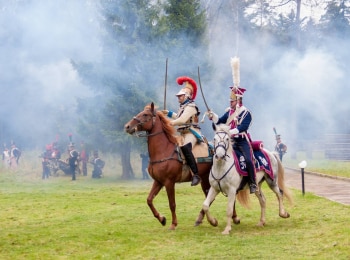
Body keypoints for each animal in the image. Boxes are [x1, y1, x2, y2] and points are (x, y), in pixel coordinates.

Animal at [126, 101, 213, 230]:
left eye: (145, 114)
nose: (127, 126)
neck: (163, 150)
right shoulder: (158, 181)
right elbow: (149, 200)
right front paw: (162, 219)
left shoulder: (169, 182)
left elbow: (172, 203)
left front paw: (173, 224)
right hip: (205, 179)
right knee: (210, 197)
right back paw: (201, 219)